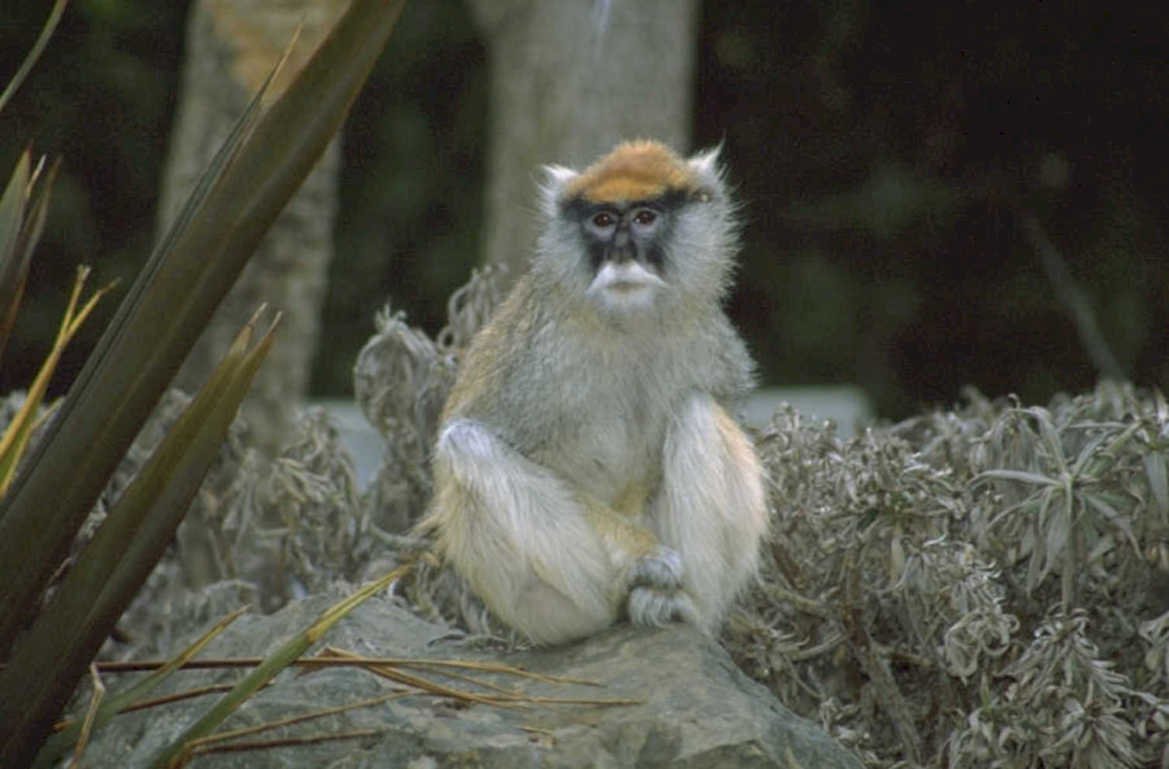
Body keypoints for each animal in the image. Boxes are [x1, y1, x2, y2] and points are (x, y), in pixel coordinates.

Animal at [416, 140, 768, 646]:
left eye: (644, 217)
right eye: (602, 220)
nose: (620, 254)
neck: (627, 324)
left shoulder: (711, 344)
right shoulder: (538, 364)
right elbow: (488, 439)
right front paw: (646, 556)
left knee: (697, 409)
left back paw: (683, 607)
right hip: (540, 608)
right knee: (466, 445)